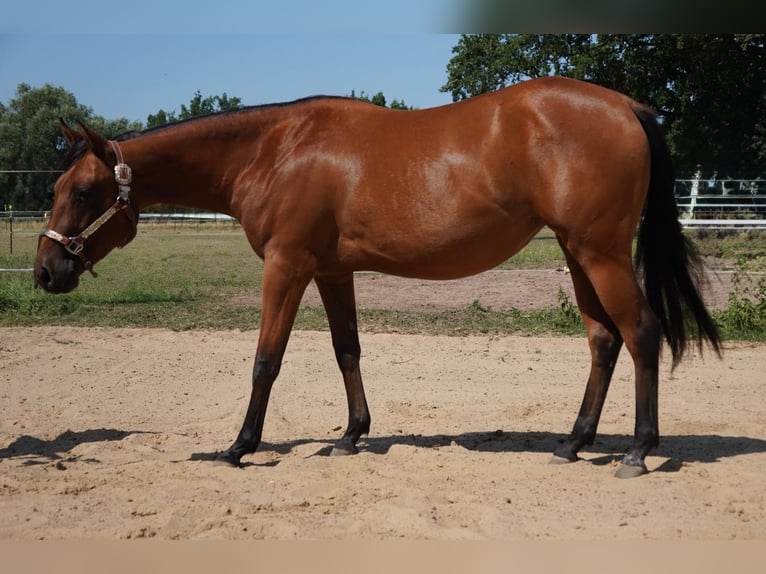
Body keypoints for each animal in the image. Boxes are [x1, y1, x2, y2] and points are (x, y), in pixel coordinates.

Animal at [34, 76, 721, 478]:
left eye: (86, 191)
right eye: (57, 187)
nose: (45, 270)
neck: (275, 149)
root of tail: (626, 105)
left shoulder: (286, 266)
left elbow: (266, 360)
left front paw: (240, 447)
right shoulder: (333, 271)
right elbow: (347, 350)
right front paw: (351, 436)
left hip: (601, 254)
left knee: (641, 333)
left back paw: (637, 451)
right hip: (580, 255)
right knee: (604, 340)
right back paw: (573, 443)